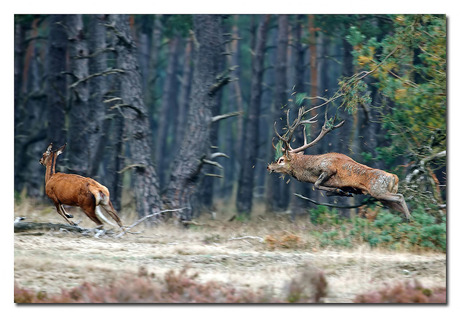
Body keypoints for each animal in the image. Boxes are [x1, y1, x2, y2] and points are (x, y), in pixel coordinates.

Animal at [268, 107, 412, 218]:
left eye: (281, 160)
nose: (269, 166)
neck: (310, 170)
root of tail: (394, 177)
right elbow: (329, 191)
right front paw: (343, 192)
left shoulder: (329, 168)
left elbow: (316, 185)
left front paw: (339, 190)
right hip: (383, 198)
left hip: (378, 191)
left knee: (400, 196)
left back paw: (410, 219)